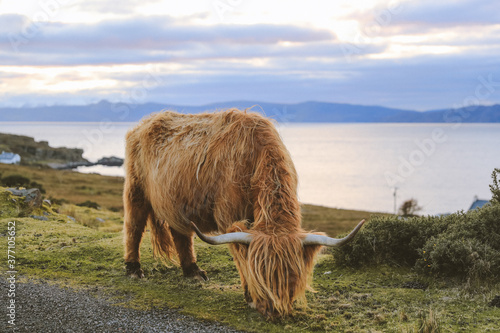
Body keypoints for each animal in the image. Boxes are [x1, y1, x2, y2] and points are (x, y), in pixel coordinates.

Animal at [122, 108, 364, 316]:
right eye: (260, 274)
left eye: (291, 275)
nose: (274, 311)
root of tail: (144, 123)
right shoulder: (229, 217)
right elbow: (241, 256)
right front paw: (250, 296)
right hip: (136, 189)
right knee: (134, 226)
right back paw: (134, 269)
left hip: (176, 201)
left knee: (180, 233)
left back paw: (193, 272)